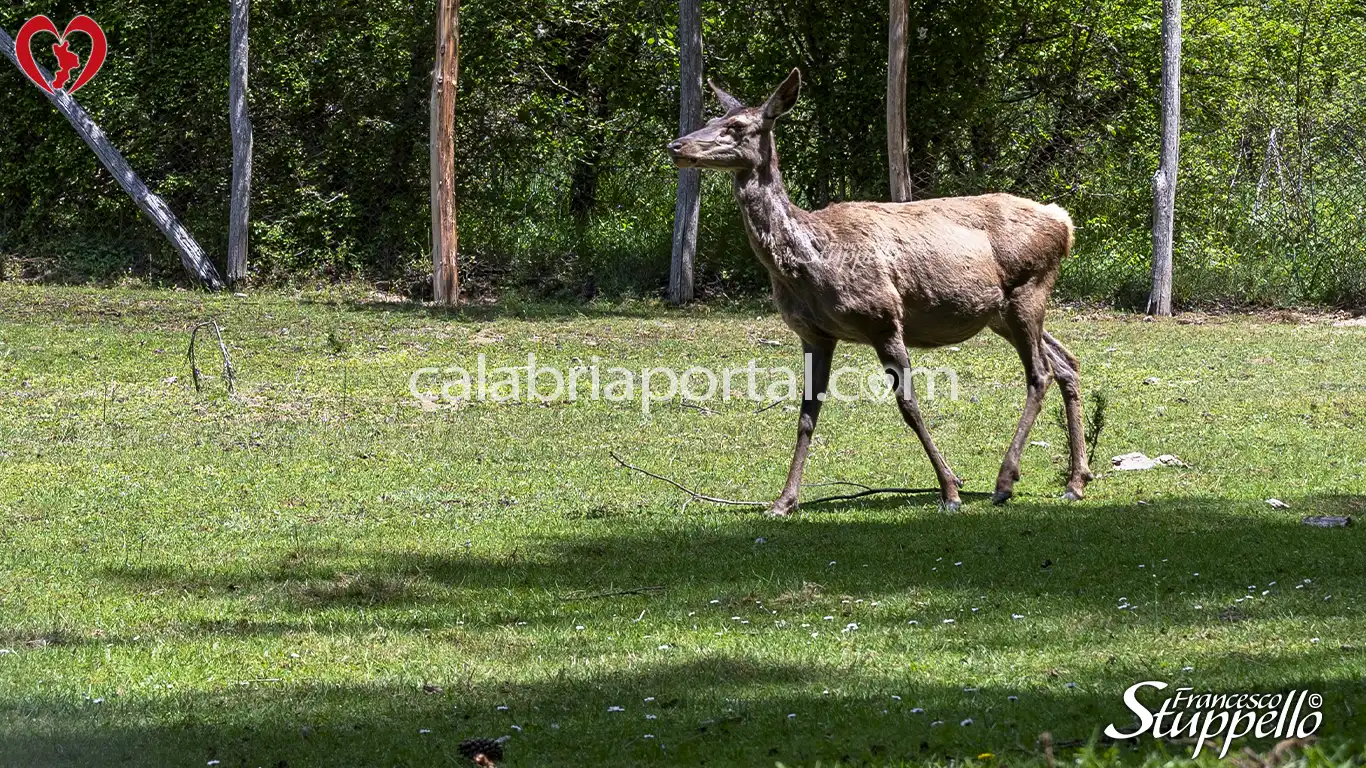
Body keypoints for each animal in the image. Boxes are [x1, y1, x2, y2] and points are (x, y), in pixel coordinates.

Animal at [666, 68, 1092, 515]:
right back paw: (1076, 480)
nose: (675, 145)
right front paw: (783, 501)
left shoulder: (883, 318)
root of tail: (1065, 224)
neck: (811, 260)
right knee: (1067, 362)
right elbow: (806, 413)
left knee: (1040, 373)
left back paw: (1006, 481)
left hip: (1029, 289)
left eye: (736, 126)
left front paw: (951, 489)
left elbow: (909, 405)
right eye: (713, 117)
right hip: (1001, 312)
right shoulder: (814, 333)